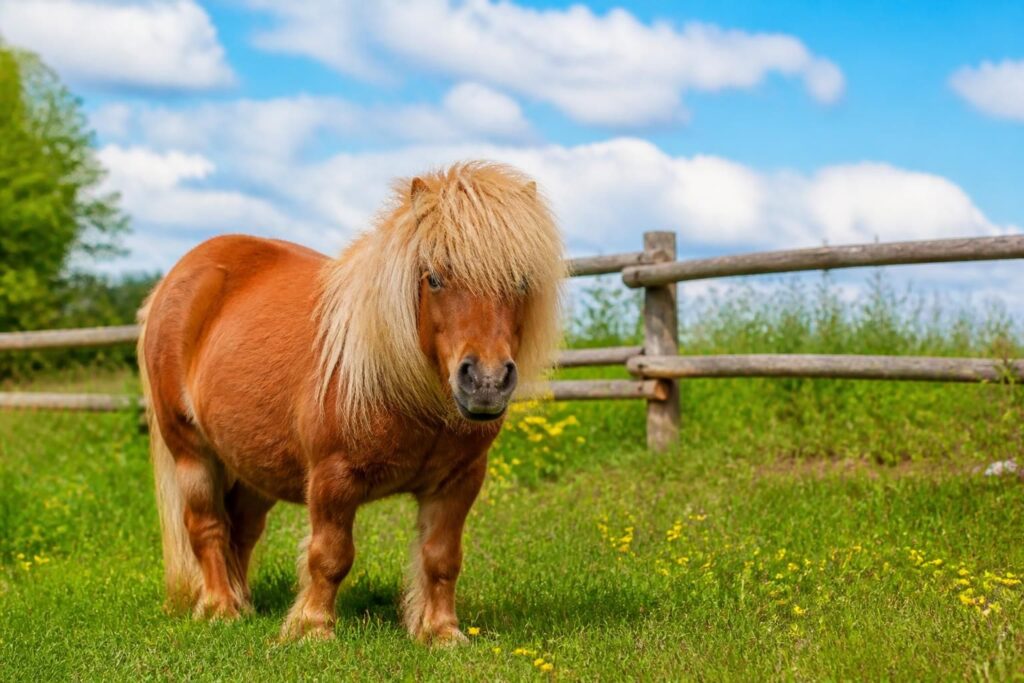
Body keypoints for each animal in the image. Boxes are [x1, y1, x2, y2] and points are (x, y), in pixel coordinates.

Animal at [137, 162, 564, 643]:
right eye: (434, 277)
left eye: (521, 280)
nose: (486, 381)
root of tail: (176, 280)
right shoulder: (332, 479)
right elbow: (331, 554)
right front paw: (311, 629)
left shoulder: (458, 482)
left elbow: (441, 557)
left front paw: (440, 633)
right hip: (192, 452)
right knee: (207, 526)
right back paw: (220, 608)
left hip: (251, 466)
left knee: (241, 530)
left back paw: (243, 603)